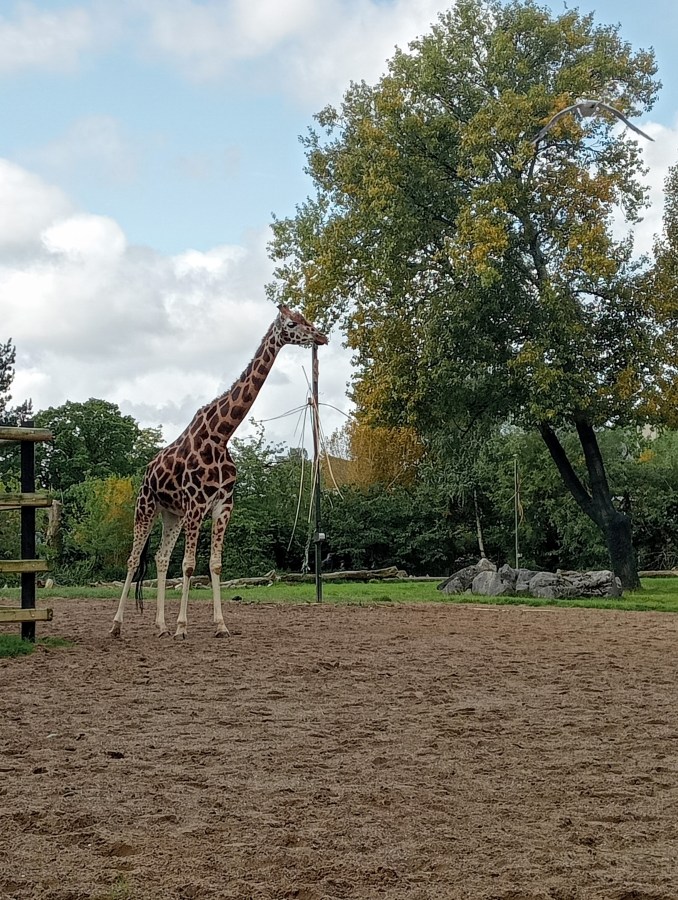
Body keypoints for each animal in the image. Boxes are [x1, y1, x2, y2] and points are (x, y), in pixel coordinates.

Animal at [110, 304, 328, 639]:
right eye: (292, 323)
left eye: (304, 318)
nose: (321, 336)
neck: (221, 434)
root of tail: (146, 472)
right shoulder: (196, 505)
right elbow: (188, 565)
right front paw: (182, 627)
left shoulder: (223, 505)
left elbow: (214, 564)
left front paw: (220, 625)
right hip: (146, 506)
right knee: (134, 559)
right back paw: (117, 625)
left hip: (171, 514)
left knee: (160, 557)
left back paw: (160, 626)